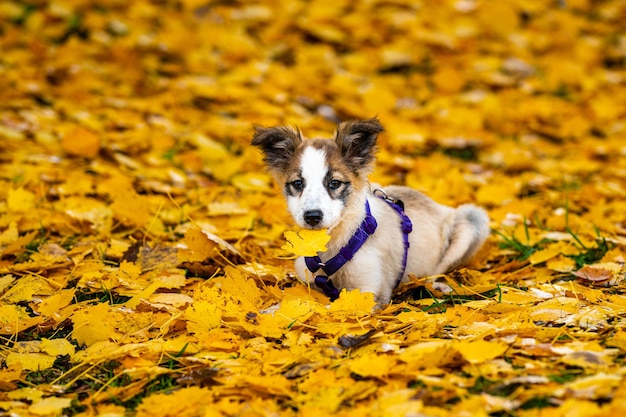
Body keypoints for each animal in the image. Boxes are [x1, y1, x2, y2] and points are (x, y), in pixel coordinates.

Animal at [251, 117, 490, 306]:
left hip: (472, 218)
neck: (334, 243)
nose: (312, 217)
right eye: (298, 184)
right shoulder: (307, 283)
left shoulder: (370, 292)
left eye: (335, 183)